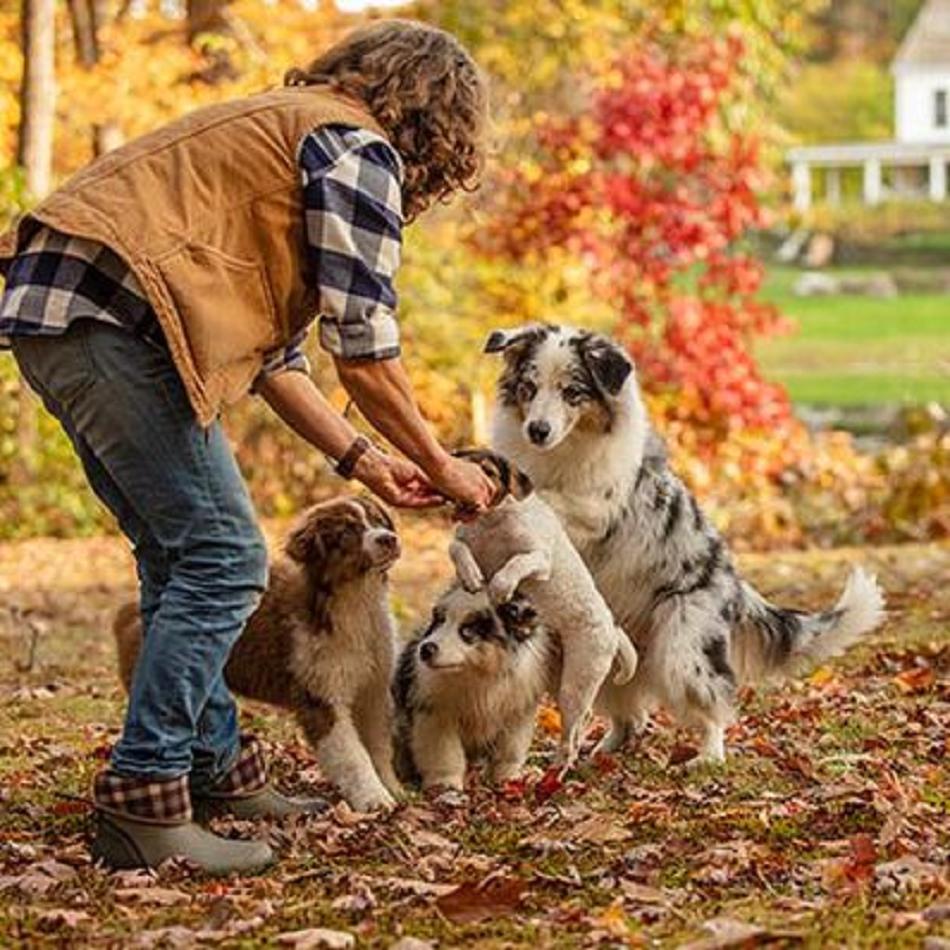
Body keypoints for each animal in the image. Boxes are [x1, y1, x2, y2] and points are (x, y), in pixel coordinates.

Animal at [114, 494, 406, 816]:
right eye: (347, 532)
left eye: (378, 520)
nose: (389, 538)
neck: (357, 601)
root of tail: (129, 612)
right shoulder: (320, 697)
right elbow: (353, 755)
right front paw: (374, 798)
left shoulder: (373, 689)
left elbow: (378, 745)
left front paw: (393, 787)